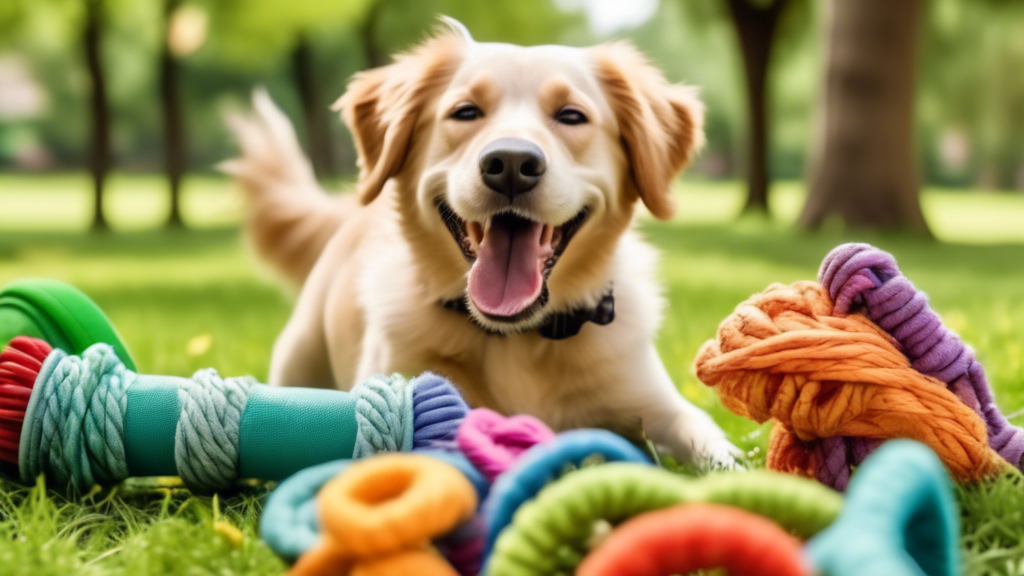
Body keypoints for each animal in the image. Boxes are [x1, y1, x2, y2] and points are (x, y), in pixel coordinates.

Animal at [222, 17, 737, 463]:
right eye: (465, 112)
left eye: (571, 116)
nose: (510, 163)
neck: (518, 337)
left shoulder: (661, 406)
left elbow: (718, 449)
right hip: (298, 355)